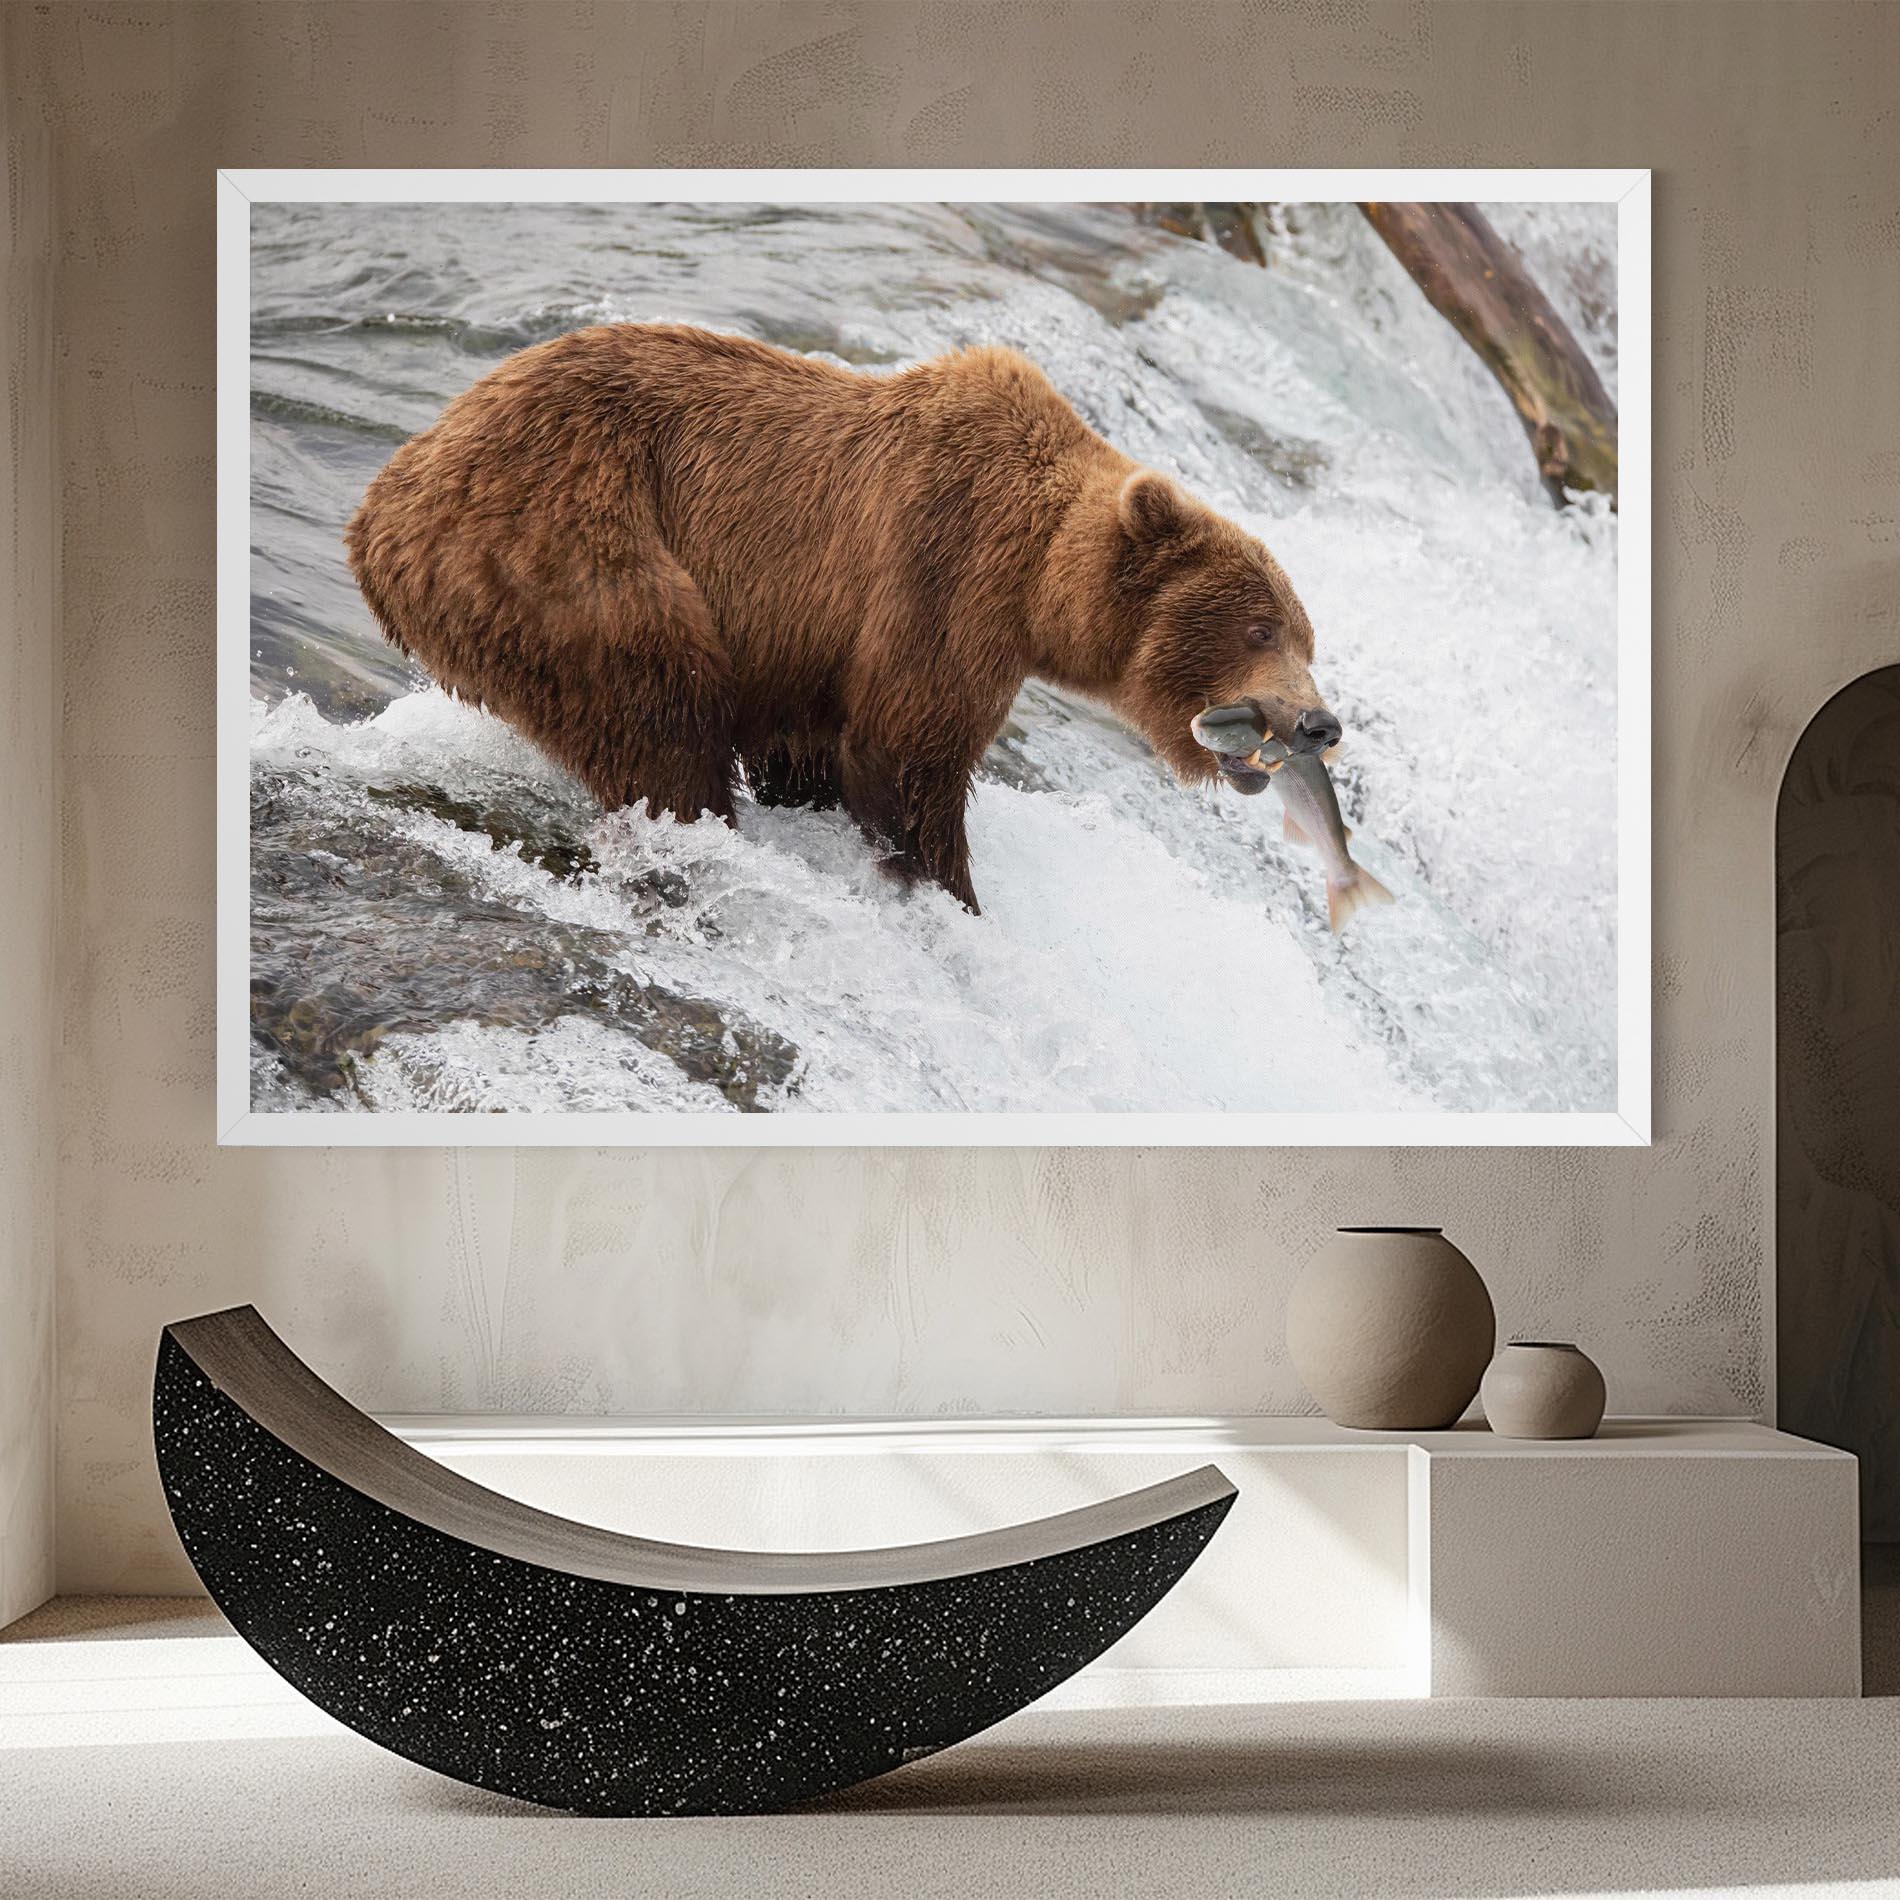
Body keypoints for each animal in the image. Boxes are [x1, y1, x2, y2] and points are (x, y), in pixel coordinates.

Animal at [346, 323, 1340, 913]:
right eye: (1260, 629)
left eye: (1307, 636)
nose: (1319, 723)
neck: (1039, 582)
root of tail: (383, 504)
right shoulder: (942, 574)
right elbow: (907, 754)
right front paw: (950, 892)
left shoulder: (809, 650)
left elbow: (813, 750)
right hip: (568, 545)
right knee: (659, 712)